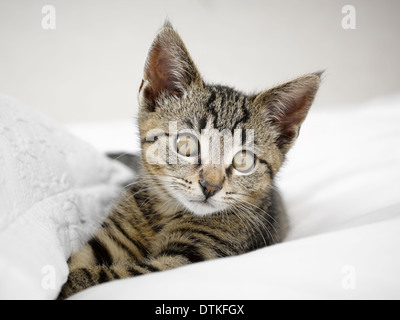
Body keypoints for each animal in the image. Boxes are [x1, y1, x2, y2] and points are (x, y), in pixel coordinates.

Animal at [58, 21, 322, 298]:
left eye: (243, 161)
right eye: (186, 145)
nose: (210, 186)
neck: (164, 214)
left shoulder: (189, 258)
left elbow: (103, 277)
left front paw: (72, 283)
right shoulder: (110, 237)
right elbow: (71, 264)